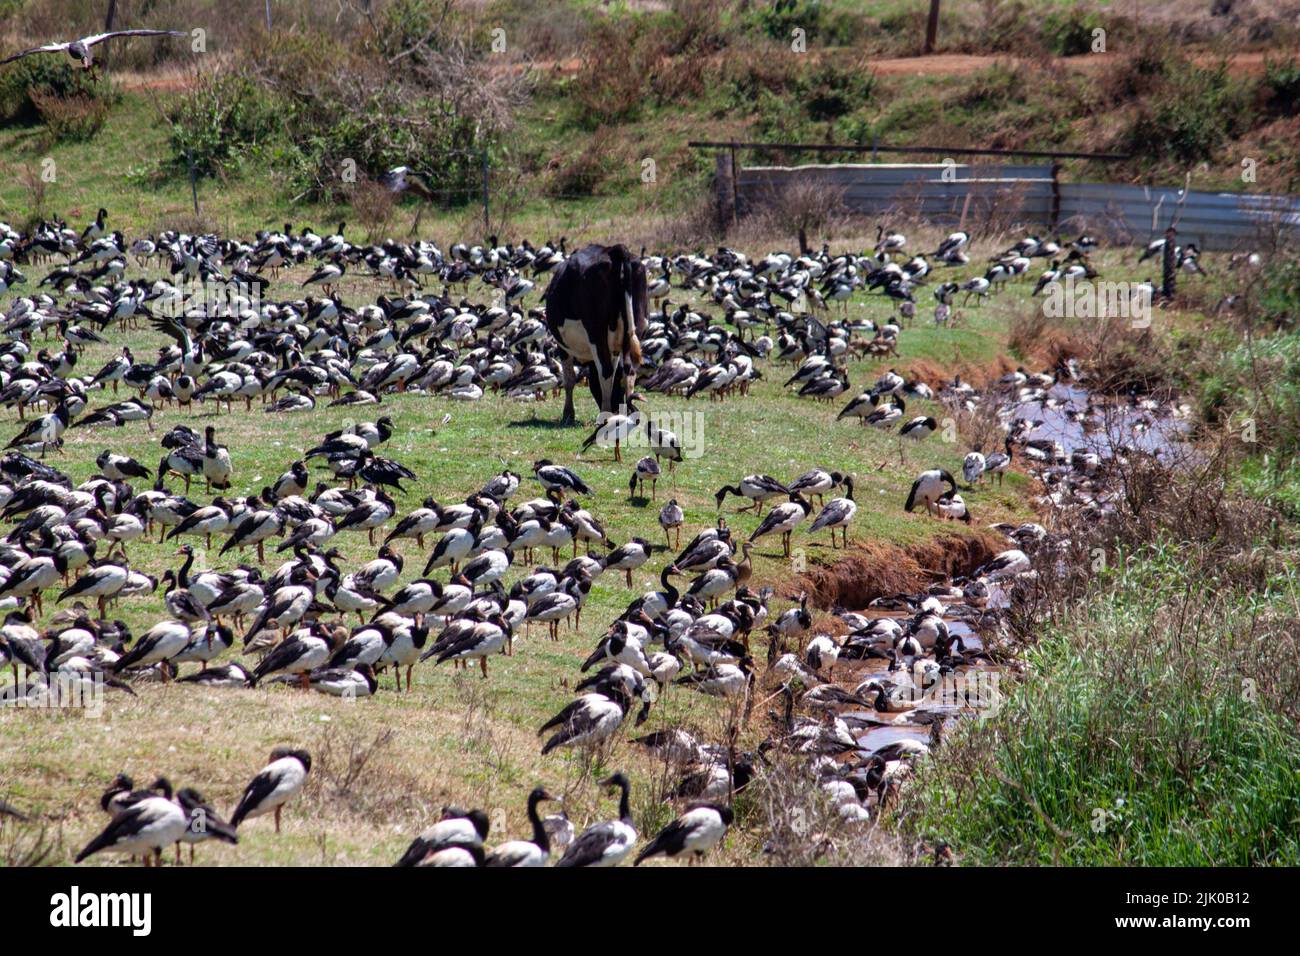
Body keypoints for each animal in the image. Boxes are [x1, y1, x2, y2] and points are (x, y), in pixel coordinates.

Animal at [543, 243, 649, 425]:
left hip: (596, 332)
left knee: (605, 371)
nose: (616, 406)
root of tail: (615, 249)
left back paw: (605, 416)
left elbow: (569, 378)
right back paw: (628, 413)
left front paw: (568, 414)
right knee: (629, 370)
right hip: (638, 327)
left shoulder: (562, 346)